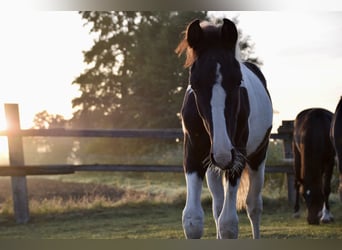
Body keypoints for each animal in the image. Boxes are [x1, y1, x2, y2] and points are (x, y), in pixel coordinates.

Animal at [176, 19, 272, 238]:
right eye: (194, 85)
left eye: (238, 81)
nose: (222, 154)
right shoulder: (193, 154)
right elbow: (192, 220)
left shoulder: (237, 156)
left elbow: (228, 225)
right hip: (212, 167)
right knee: (217, 207)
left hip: (257, 158)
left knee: (253, 206)